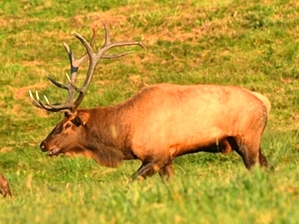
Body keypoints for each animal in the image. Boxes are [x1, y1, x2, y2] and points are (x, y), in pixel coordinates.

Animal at [29, 23, 270, 180]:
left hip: (247, 137)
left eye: (66, 125)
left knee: (257, 167)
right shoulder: (167, 157)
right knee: (268, 165)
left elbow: (132, 180)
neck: (123, 134)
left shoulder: (156, 155)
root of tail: (264, 102)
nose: (43, 144)